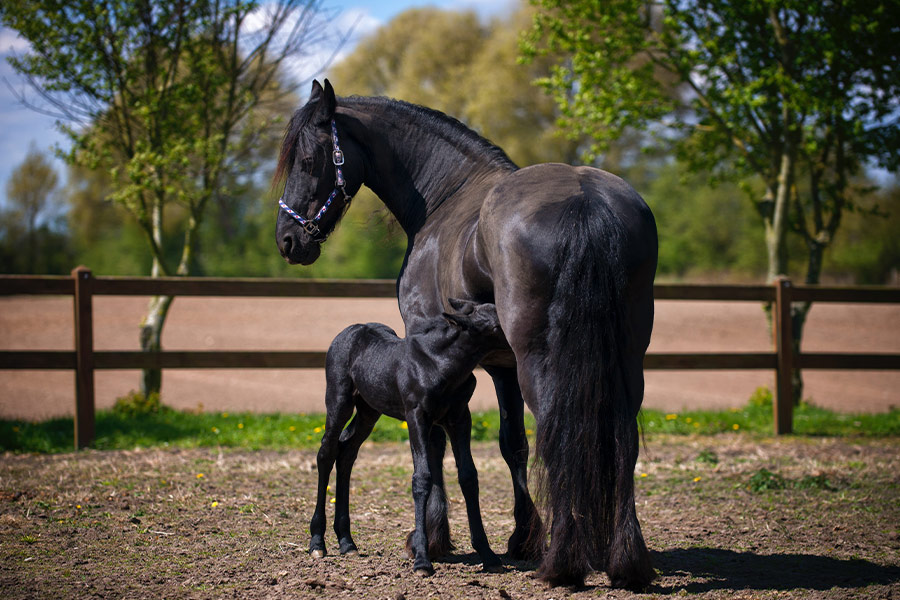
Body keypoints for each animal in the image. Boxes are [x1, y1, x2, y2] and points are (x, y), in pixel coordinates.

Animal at [309, 299, 507, 575]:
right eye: (497, 325)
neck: (440, 364)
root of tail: (348, 331)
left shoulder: (460, 418)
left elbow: (469, 476)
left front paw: (488, 554)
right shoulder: (416, 416)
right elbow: (422, 478)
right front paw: (422, 560)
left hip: (369, 410)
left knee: (346, 452)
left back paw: (347, 541)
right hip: (339, 400)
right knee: (326, 453)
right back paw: (317, 542)